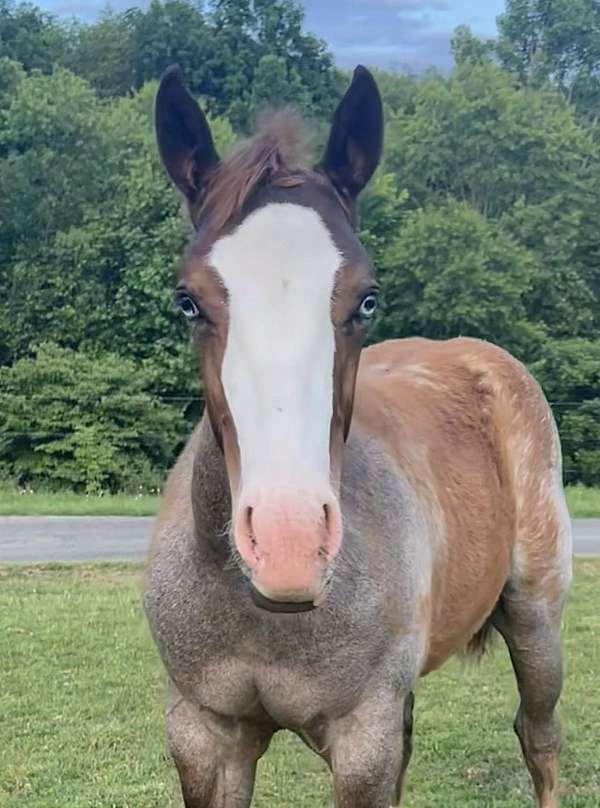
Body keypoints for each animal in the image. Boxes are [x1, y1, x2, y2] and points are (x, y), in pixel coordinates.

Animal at [145, 64, 572, 808]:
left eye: (366, 299)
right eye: (187, 300)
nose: (288, 544)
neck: (264, 614)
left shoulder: (360, 741)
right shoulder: (203, 735)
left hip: (536, 617)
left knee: (538, 736)